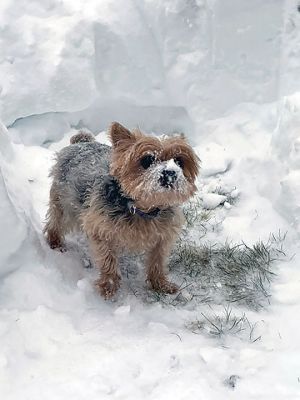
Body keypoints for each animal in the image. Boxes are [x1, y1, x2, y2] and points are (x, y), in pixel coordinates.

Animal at [44, 123, 199, 298]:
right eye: (147, 160)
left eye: (179, 161)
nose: (170, 172)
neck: (142, 208)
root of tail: (82, 142)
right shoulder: (99, 228)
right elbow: (107, 258)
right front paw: (109, 285)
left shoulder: (163, 235)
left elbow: (158, 260)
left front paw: (160, 284)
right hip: (65, 203)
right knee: (57, 221)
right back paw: (55, 242)